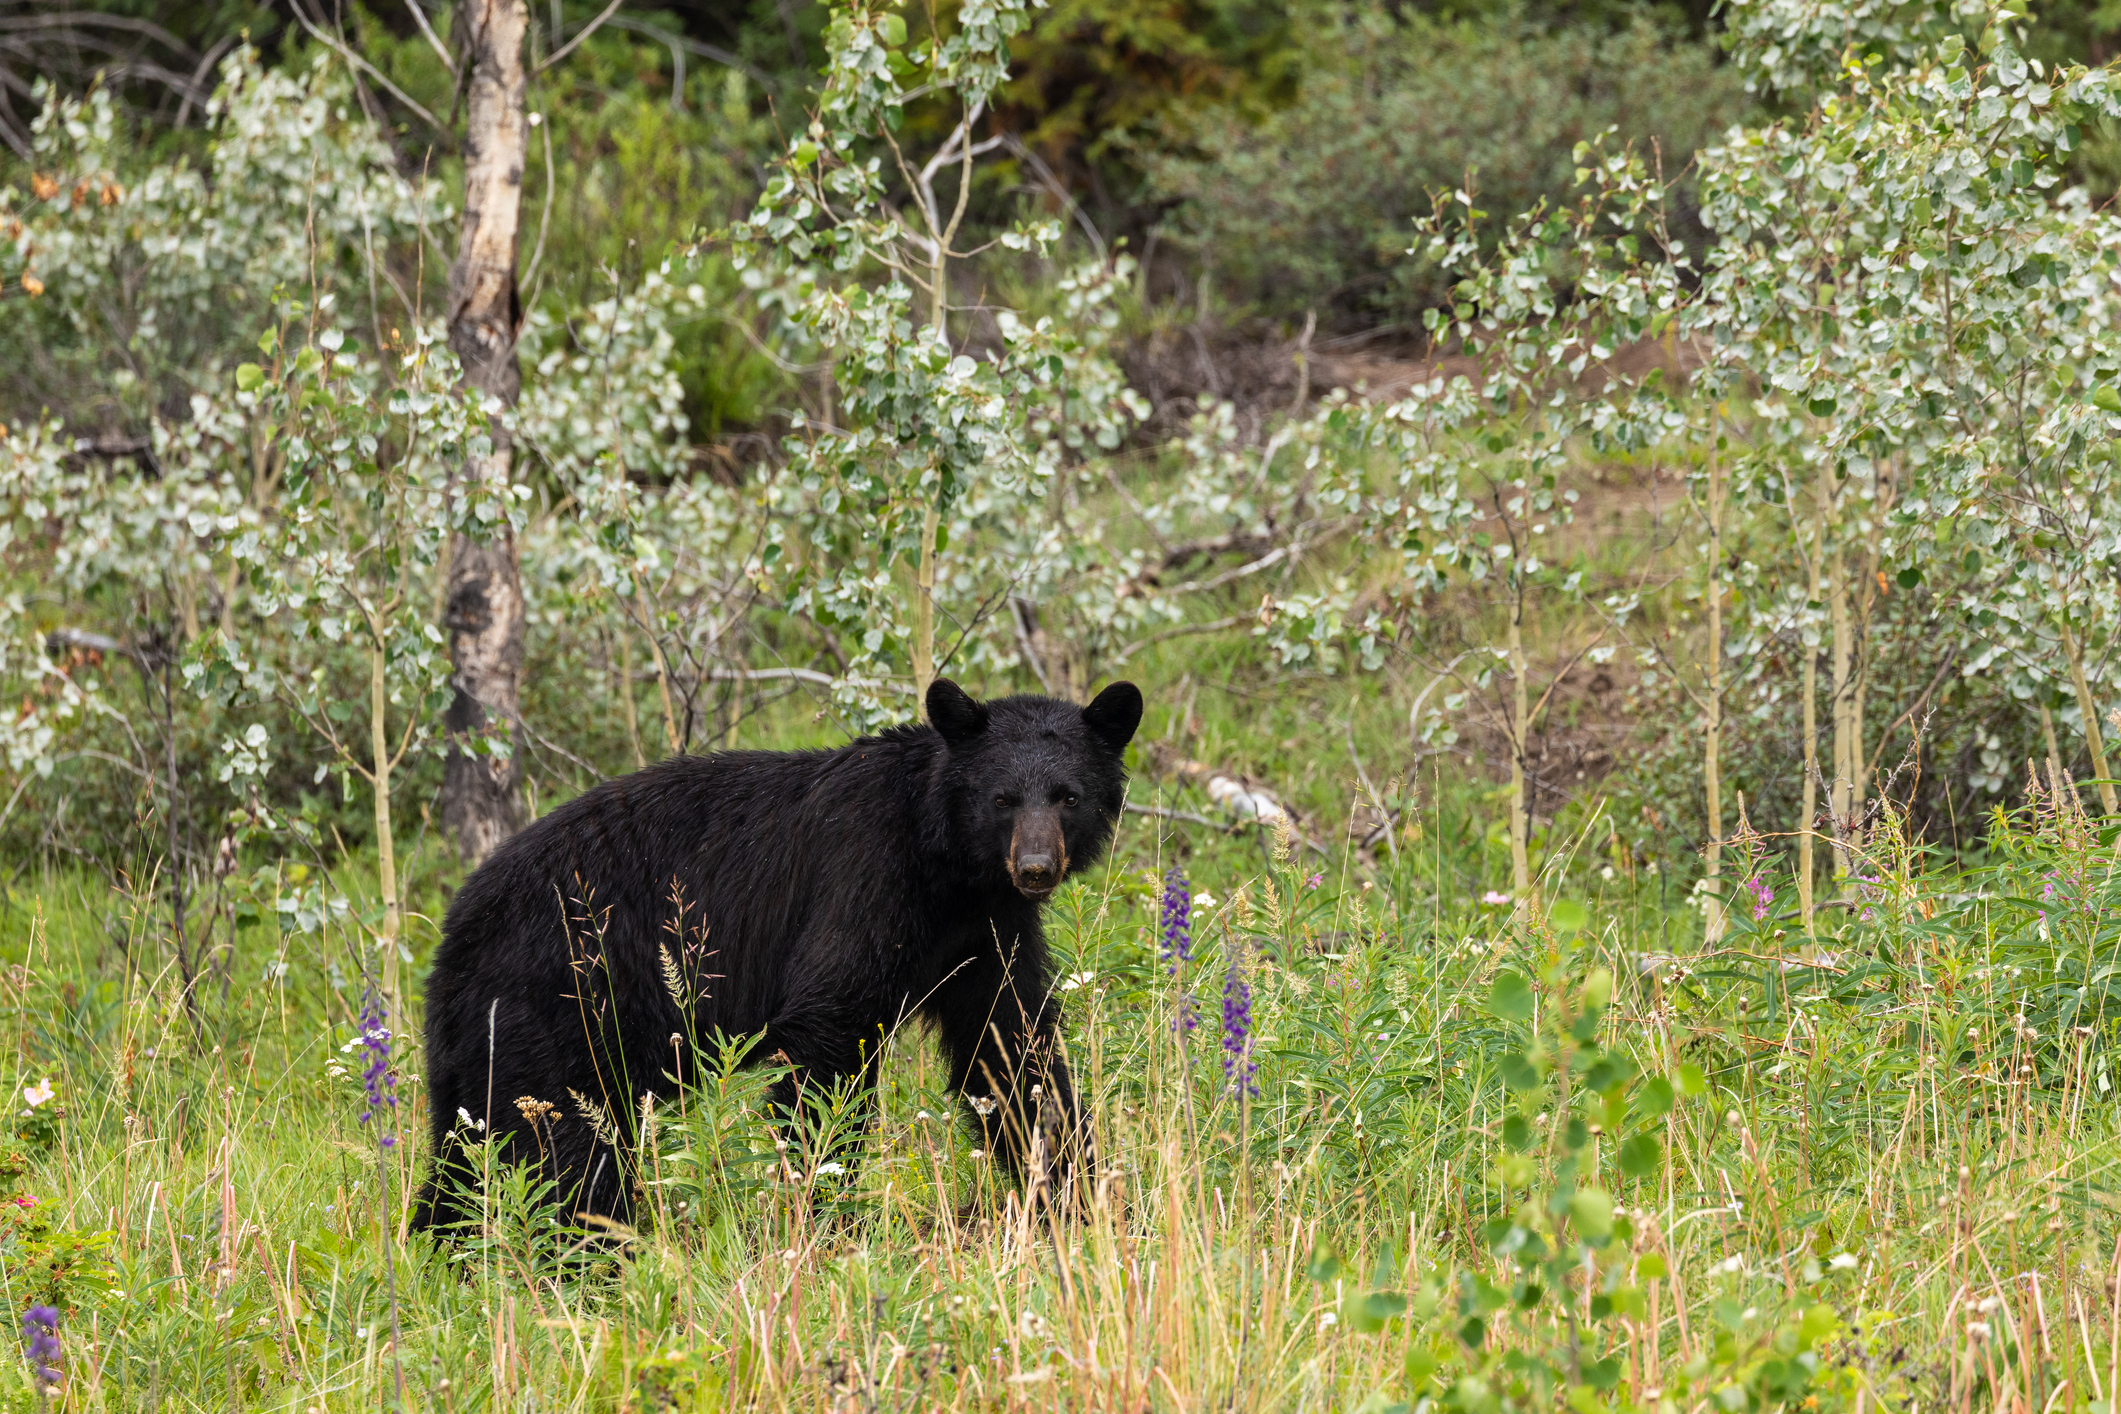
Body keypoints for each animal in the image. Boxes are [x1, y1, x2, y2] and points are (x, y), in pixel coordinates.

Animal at [413, 674, 1145, 1229]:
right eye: (1001, 799)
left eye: (1067, 796)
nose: (1035, 867)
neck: (948, 867)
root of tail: (453, 939)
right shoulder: (865, 877)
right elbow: (830, 1029)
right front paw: (818, 1206)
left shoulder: (984, 931)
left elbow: (1009, 1045)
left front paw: (1081, 1194)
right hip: (559, 1007)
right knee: (562, 1151)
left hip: (493, 1047)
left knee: (465, 1158)